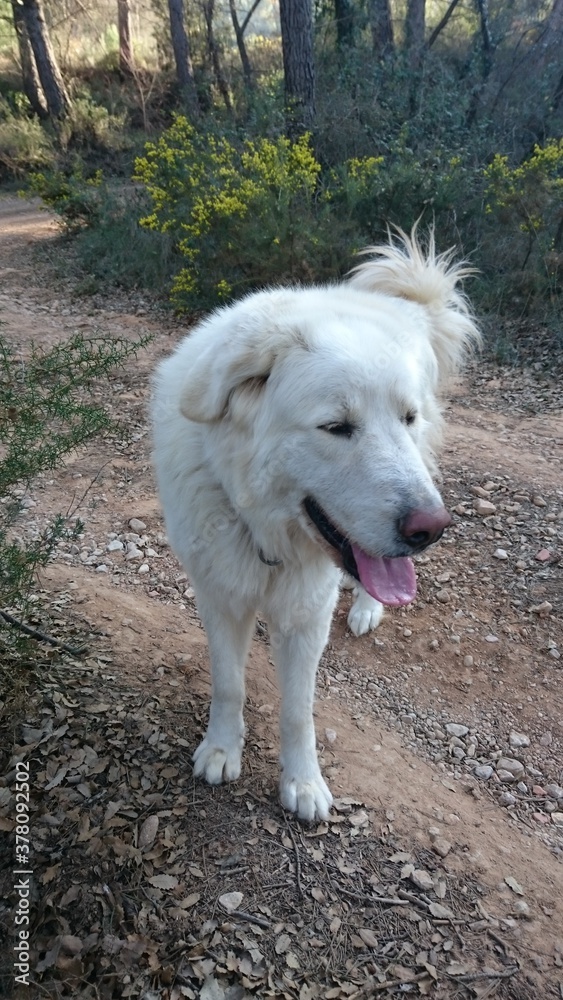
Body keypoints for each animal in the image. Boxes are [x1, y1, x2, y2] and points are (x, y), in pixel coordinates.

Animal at [151, 232, 480, 820]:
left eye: (406, 418)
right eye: (336, 427)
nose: (432, 529)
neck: (263, 530)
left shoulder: (307, 615)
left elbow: (297, 711)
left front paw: (302, 784)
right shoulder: (218, 597)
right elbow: (229, 685)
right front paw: (221, 748)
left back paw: (369, 607)